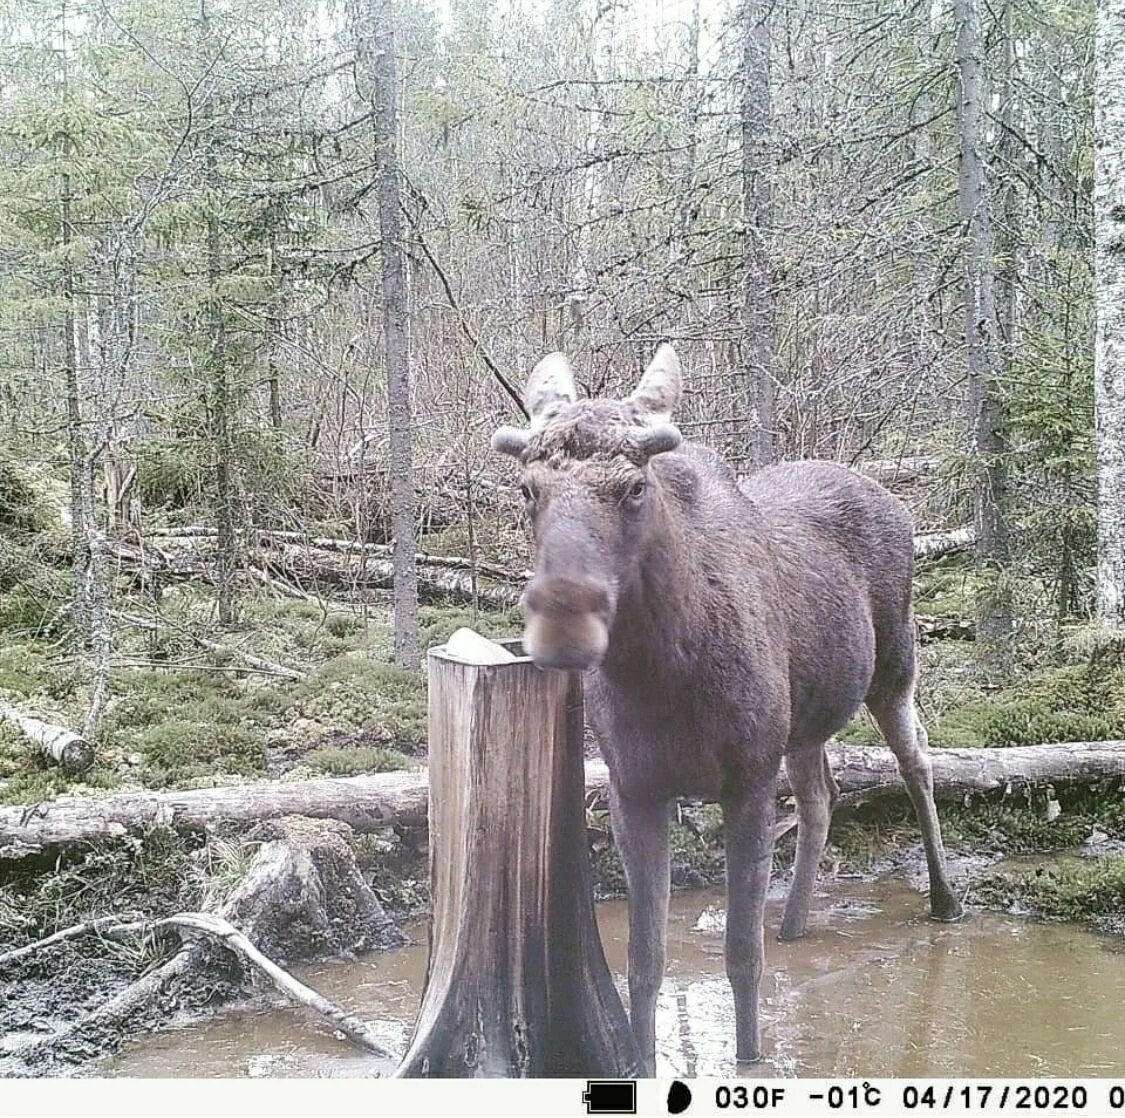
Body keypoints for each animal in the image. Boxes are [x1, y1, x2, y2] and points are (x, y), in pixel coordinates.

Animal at [488, 341, 963, 1070]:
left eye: (634, 487)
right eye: (527, 489)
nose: (563, 623)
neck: (662, 676)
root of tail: (893, 497)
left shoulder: (746, 779)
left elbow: (741, 955)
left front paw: (749, 1056)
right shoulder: (634, 790)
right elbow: (644, 962)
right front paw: (645, 1060)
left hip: (894, 665)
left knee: (919, 765)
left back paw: (944, 899)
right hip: (804, 724)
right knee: (822, 793)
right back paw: (794, 921)